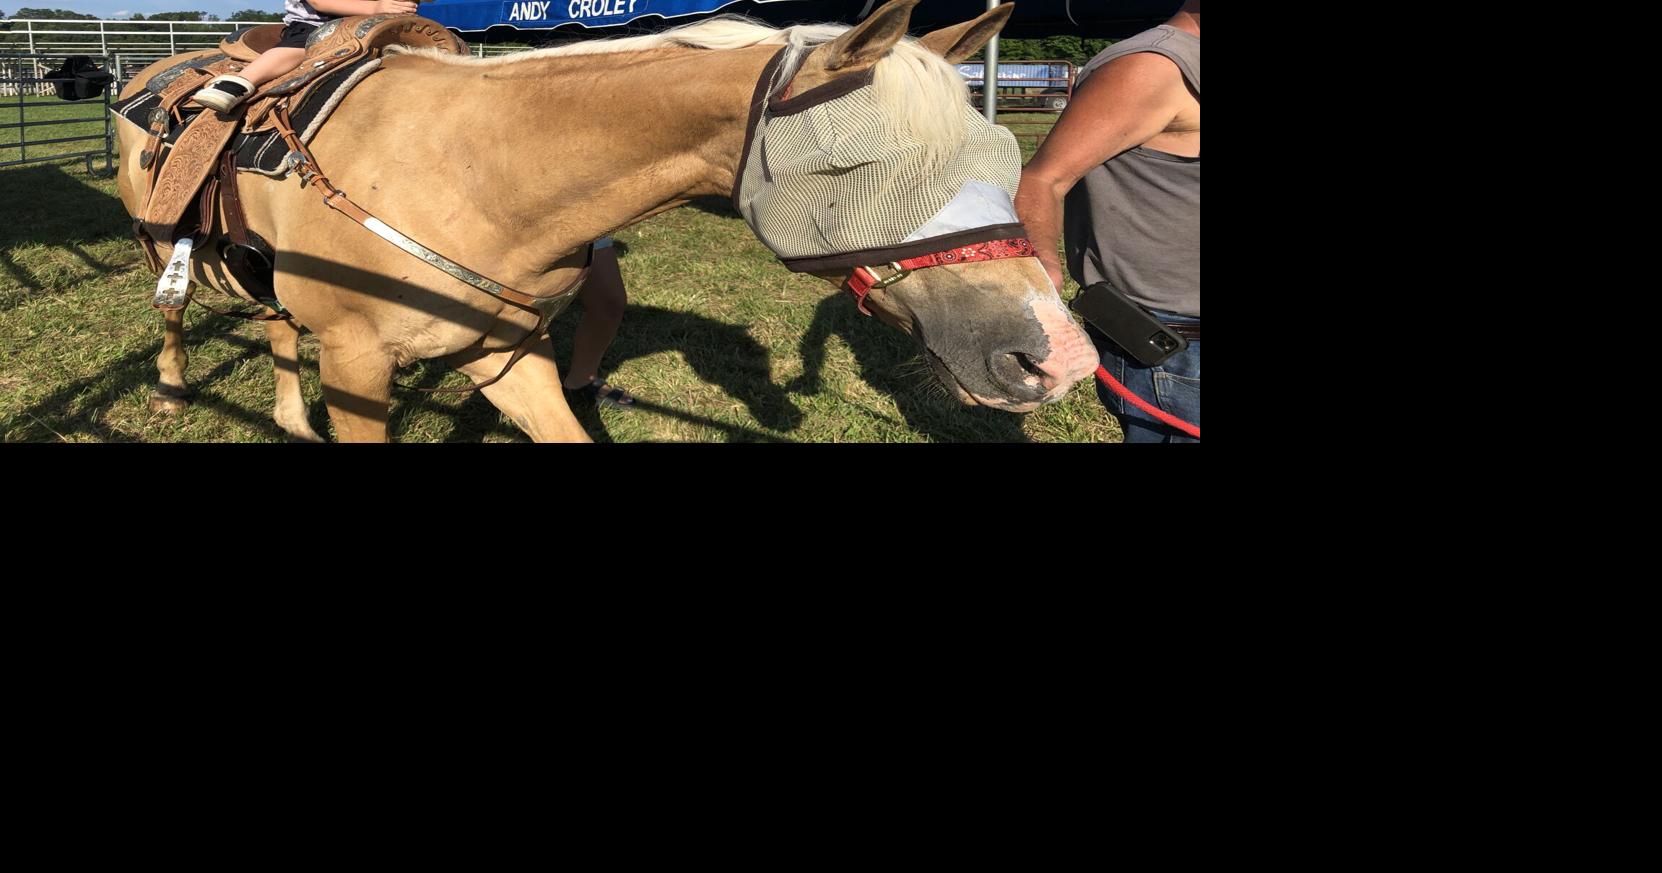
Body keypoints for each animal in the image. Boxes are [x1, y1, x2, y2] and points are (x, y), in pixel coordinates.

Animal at [117, 0, 1103, 438]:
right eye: (855, 165)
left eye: (1004, 157)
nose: (1060, 357)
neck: (473, 174)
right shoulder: (359, 366)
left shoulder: (505, 354)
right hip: (157, 243)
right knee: (171, 312)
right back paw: (170, 388)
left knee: (279, 323)